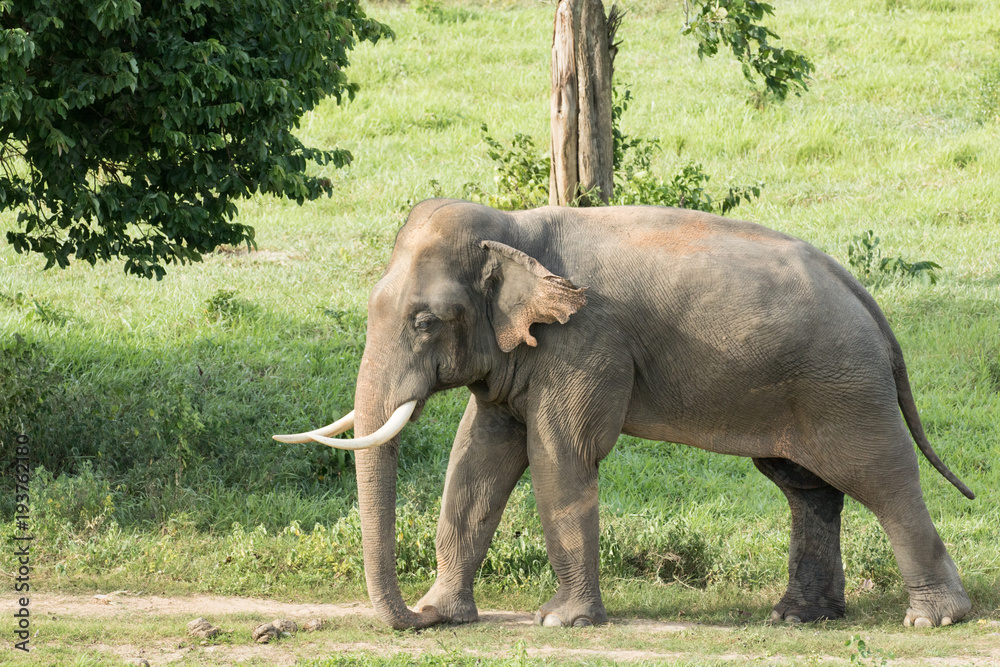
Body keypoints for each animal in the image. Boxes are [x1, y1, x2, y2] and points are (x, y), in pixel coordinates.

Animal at [274, 199, 974, 630]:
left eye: (425, 321)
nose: (414, 621)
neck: (514, 229)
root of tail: (867, 299)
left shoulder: (585, 340)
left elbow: (560, 454)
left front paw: (560, 621)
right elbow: (477, 459)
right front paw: (446, 613)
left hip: (843, 385)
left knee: (878, 475)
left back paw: (934, 617)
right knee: (806, 485)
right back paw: (799, 617)